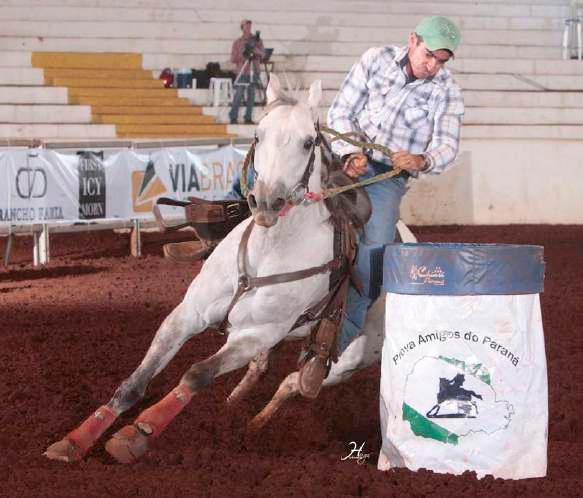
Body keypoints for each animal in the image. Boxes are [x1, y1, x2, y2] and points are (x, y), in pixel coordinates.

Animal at [43, 76, 410, 464]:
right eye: (258, 135)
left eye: (308, 141)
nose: (267, 202)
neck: (267, 251)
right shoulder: (187, 314)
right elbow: (136, 381)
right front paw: (75, 440)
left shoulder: (255, 335)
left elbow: (196, 375)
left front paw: (138, 433)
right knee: (261, 370)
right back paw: (232, 407)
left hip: (350, 358)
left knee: (293, 383)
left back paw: (253, 424)